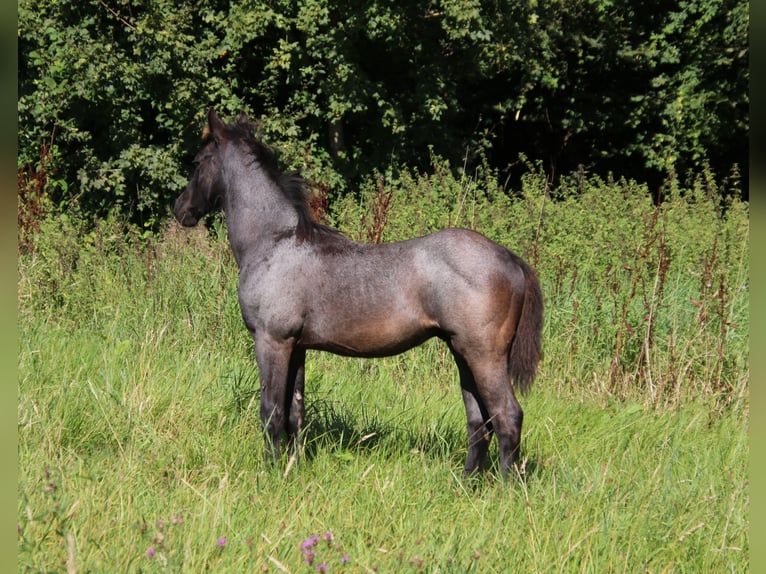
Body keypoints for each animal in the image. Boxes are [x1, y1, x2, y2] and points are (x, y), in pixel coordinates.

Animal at [173, 109, 543, 478]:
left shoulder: (271, 341)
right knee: (479, 421)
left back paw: (506, 486)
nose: (180, 209)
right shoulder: (297, 347)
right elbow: (295, 413)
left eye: (198, 161)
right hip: (462, 352)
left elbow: (271, 412)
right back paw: (466, 483)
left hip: (484, 355)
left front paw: (272, 473)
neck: (274, 243)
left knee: (508, 417)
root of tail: (510, 258)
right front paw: (294, 468)